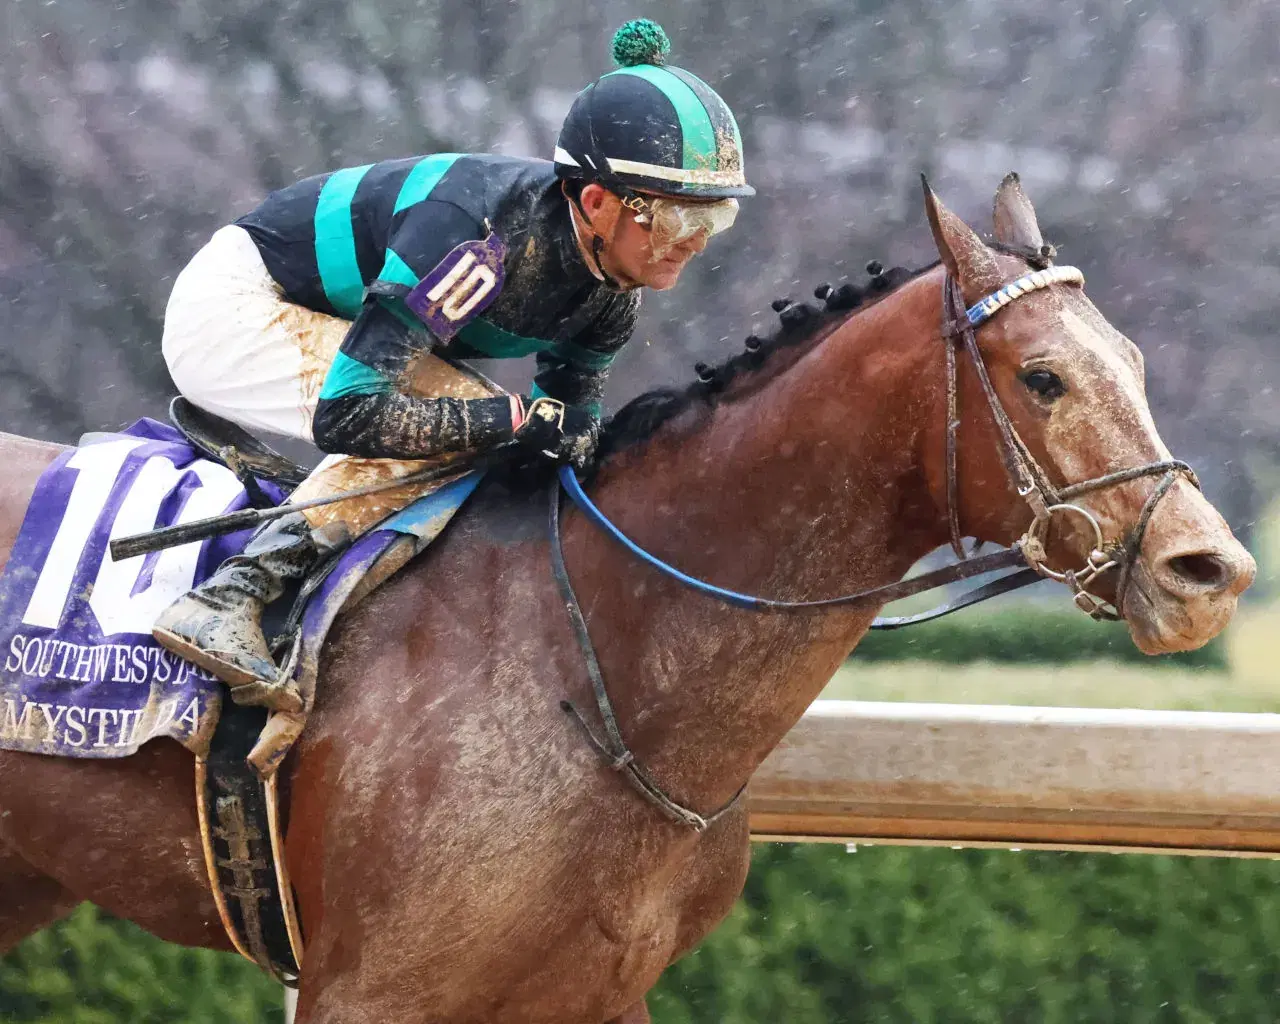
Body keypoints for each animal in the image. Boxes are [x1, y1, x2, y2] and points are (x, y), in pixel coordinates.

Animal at [0, 176, 1254, 1023]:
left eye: (1135, 362)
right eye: (1041, 377)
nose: (1208, 572)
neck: (595, 660)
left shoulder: (593, 986)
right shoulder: (368, 987)